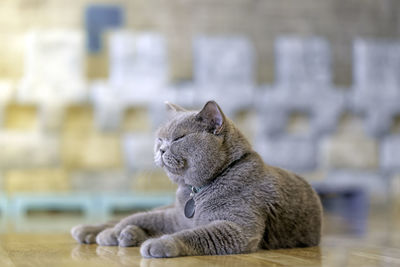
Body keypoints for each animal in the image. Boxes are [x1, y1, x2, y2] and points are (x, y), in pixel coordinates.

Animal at [72, 101, 322, 260]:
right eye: (160, 139)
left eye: (179, 138)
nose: (161, 149)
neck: (195, 192)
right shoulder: (175, 216)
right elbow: (136, 217)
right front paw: (112, 233)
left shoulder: (238, 228)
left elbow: (196, 234)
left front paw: (160, 243)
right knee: (126, 217)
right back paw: (92, 230)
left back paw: (130, 236)